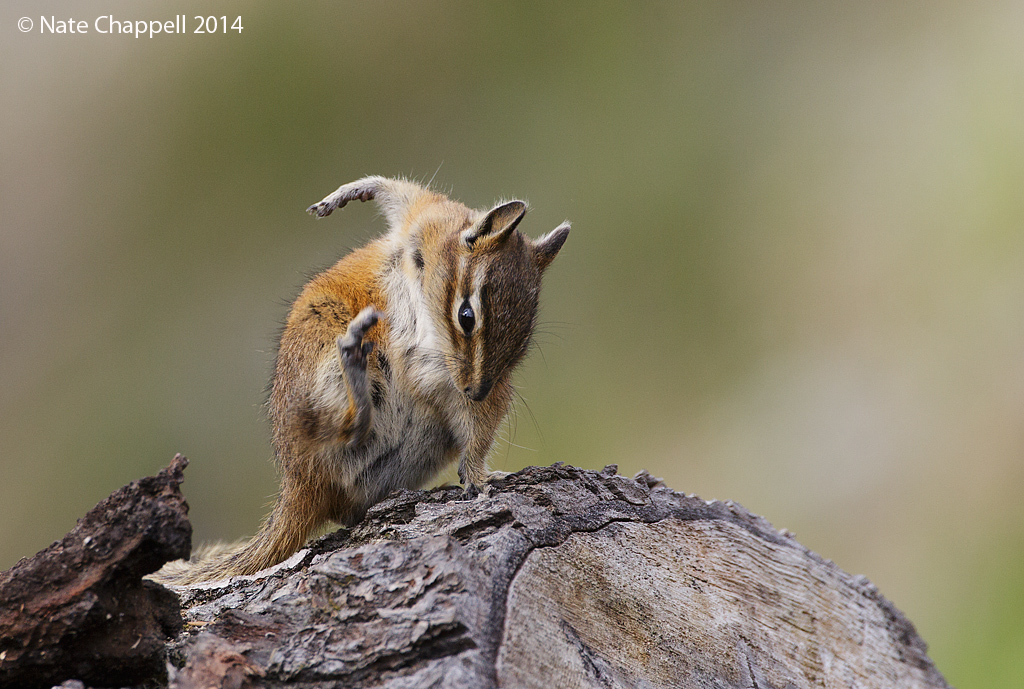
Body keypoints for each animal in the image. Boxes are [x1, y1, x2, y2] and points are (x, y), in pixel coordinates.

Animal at [154, 176, 569, 584]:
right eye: (466, 317)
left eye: (523, 344)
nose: (478, 390)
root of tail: (296, 482)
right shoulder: (421, 215)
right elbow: (392, 187)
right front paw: (346, 194)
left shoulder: (473, 395)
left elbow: (479, 434)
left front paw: (480, 477)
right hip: (321, 349)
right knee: (344, 425)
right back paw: (354, 357)